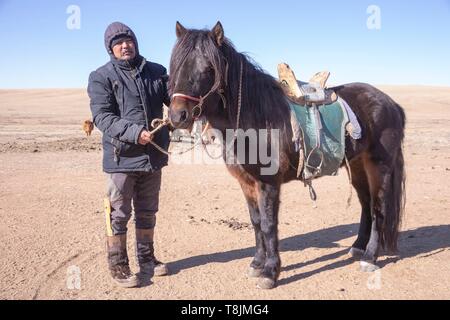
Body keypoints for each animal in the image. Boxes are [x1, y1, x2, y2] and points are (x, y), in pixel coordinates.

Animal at [167, 20, 406, 290]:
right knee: (365, 204)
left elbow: (269, 224)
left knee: (378, 207)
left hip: (379, 166)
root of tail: (391, 103)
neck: (255, 117)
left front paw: (271, 272)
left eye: (209, 68)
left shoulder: (268, 183)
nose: (178, 116)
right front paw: (257, 263)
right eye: (176, 65)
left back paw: (370, 257)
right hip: (356, 165)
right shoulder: (247, 183)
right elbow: (256, 221)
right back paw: (357, 248)